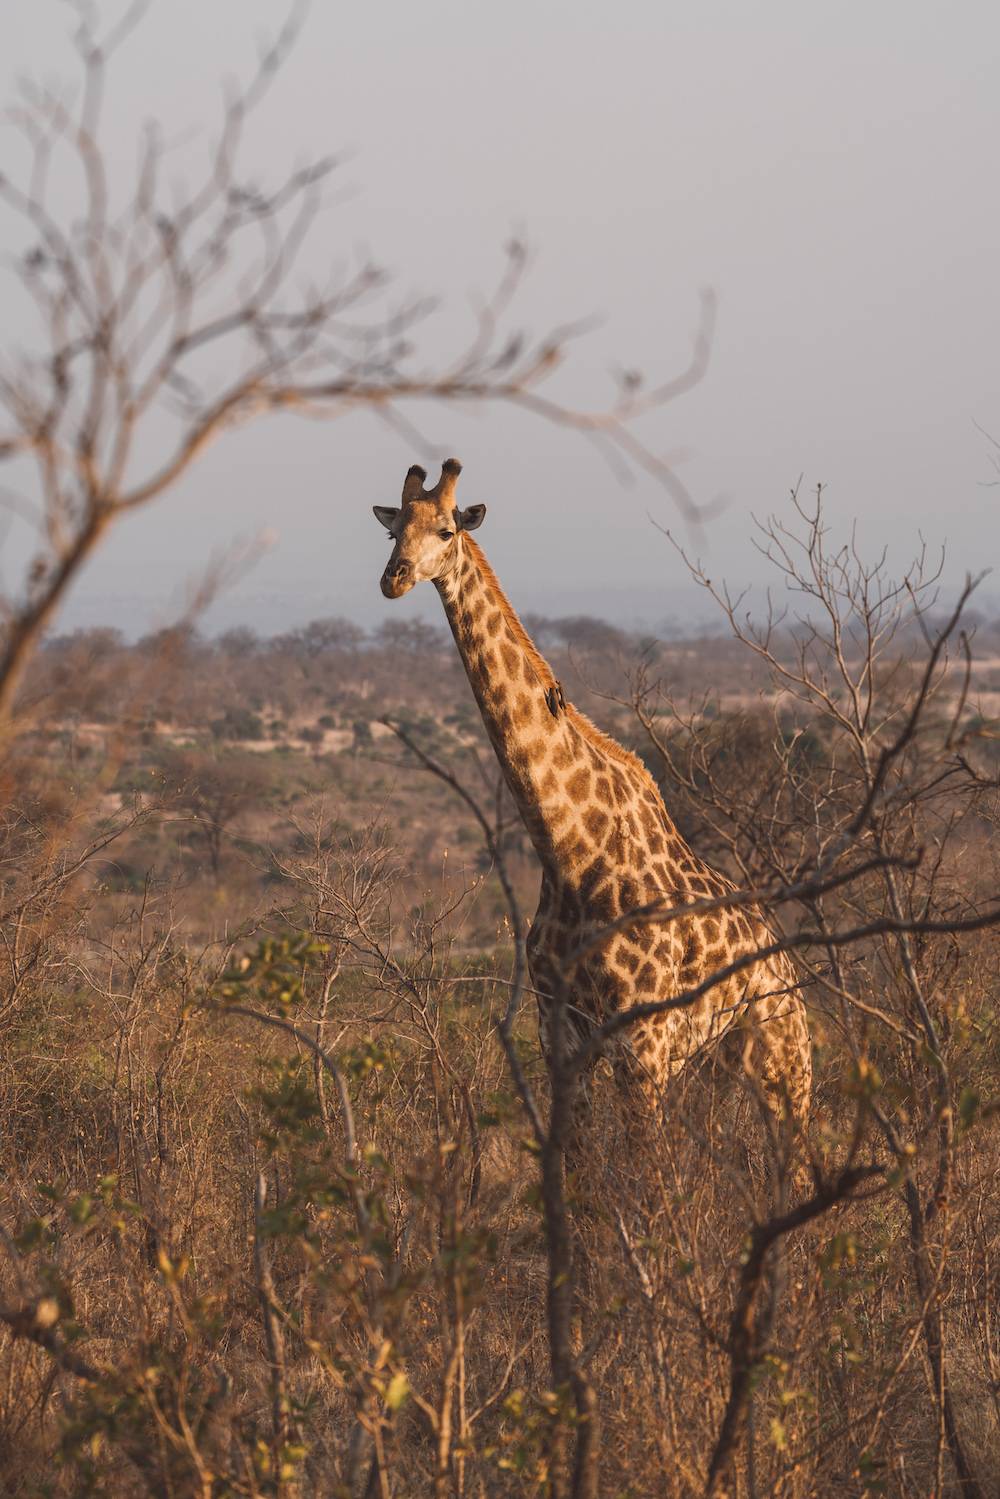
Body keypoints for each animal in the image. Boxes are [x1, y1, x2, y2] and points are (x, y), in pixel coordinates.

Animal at [374, 461, 815, 1139]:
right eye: (392, 529)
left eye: (447, 530)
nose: (393, 579)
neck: (569, 853)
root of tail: (788, 966)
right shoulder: (561, 1033)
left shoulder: (644, 1044)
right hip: (718, 1065)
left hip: (783, 1057)